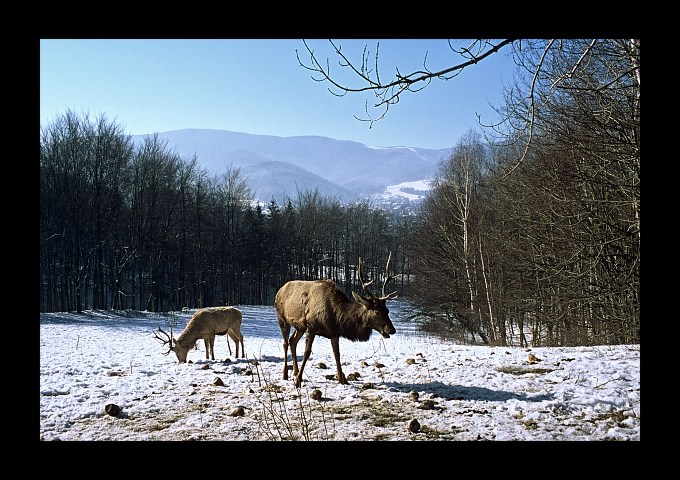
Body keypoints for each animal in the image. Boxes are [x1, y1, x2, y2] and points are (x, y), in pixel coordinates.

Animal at [274, 251, 396, 386]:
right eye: (377, 312)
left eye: (387, 310)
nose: (392, 330)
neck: (336, 317)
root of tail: (279, 290)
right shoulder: (311, 328)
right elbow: (307, 353)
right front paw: (298, 381)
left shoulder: (334, 333)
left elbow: (337, 354)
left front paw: (342, 379)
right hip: (282, 318)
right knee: (285, 343)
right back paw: (285, 374)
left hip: (299, 327)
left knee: (292, 341)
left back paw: (294, 372)